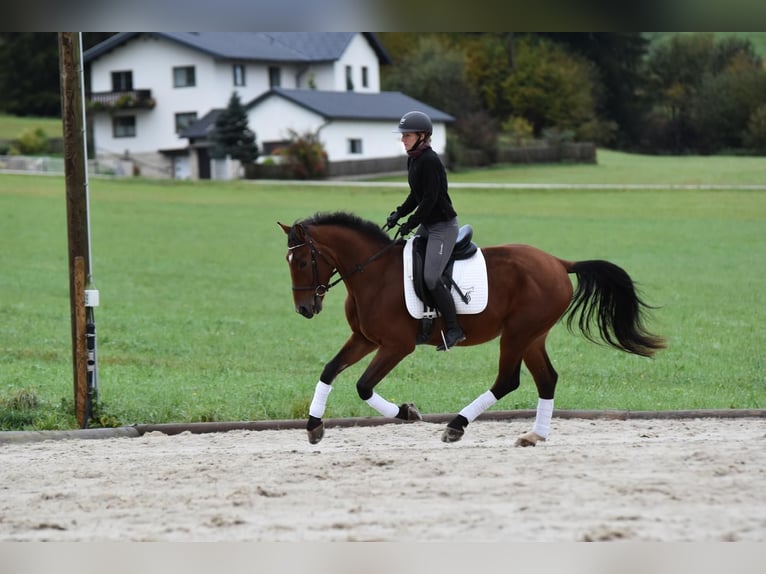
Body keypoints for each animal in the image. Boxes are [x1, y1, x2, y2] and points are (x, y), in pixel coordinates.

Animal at [278, 214, 664, 448]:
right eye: (289, 262)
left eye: (303, 261)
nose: (305, 309)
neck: (373, 273)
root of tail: (557, 262)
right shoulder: (364, 339)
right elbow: (330, 370)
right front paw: (313, 426)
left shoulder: (397, 345)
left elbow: (362, 386)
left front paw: (407, 412)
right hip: (532, 336)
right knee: (547, 379)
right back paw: (534, 435)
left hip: (517, 334)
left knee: (508, 381)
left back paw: (457, 425)